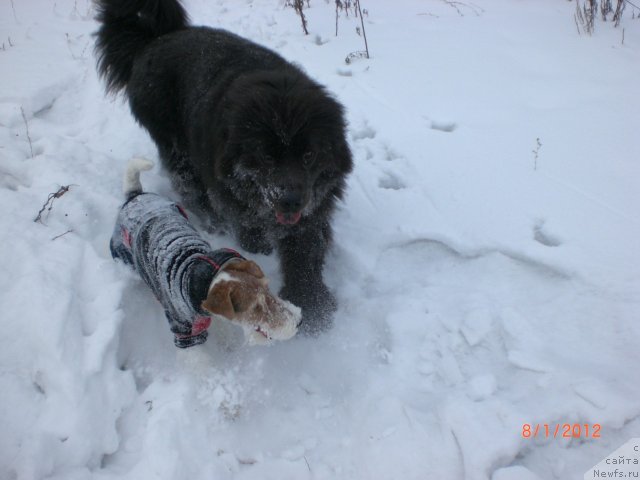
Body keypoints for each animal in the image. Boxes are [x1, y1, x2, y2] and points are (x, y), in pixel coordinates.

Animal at [110, 159, 300, 346]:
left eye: (268, 288)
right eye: (255, 307)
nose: (298, 322)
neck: (205, 278)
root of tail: (135, 195)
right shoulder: (186, 331)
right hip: (123, 255)